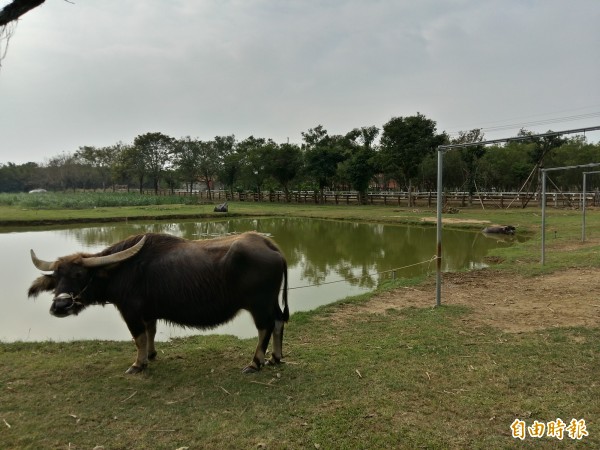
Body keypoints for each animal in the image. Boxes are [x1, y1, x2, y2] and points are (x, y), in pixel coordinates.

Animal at [27, 230, 288, 374]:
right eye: (57, 277)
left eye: (80, 275)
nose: (60, 306)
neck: (120, 270)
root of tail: (270, 245)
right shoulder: (149, 312)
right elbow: (150, 332)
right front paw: (151, 355)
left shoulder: (130, 312)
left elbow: (139, 337)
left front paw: (138, 364)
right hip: (271, 303)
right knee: (278, 323)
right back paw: (275, 358)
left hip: (259, 305)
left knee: (265, 328)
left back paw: (255, 363)